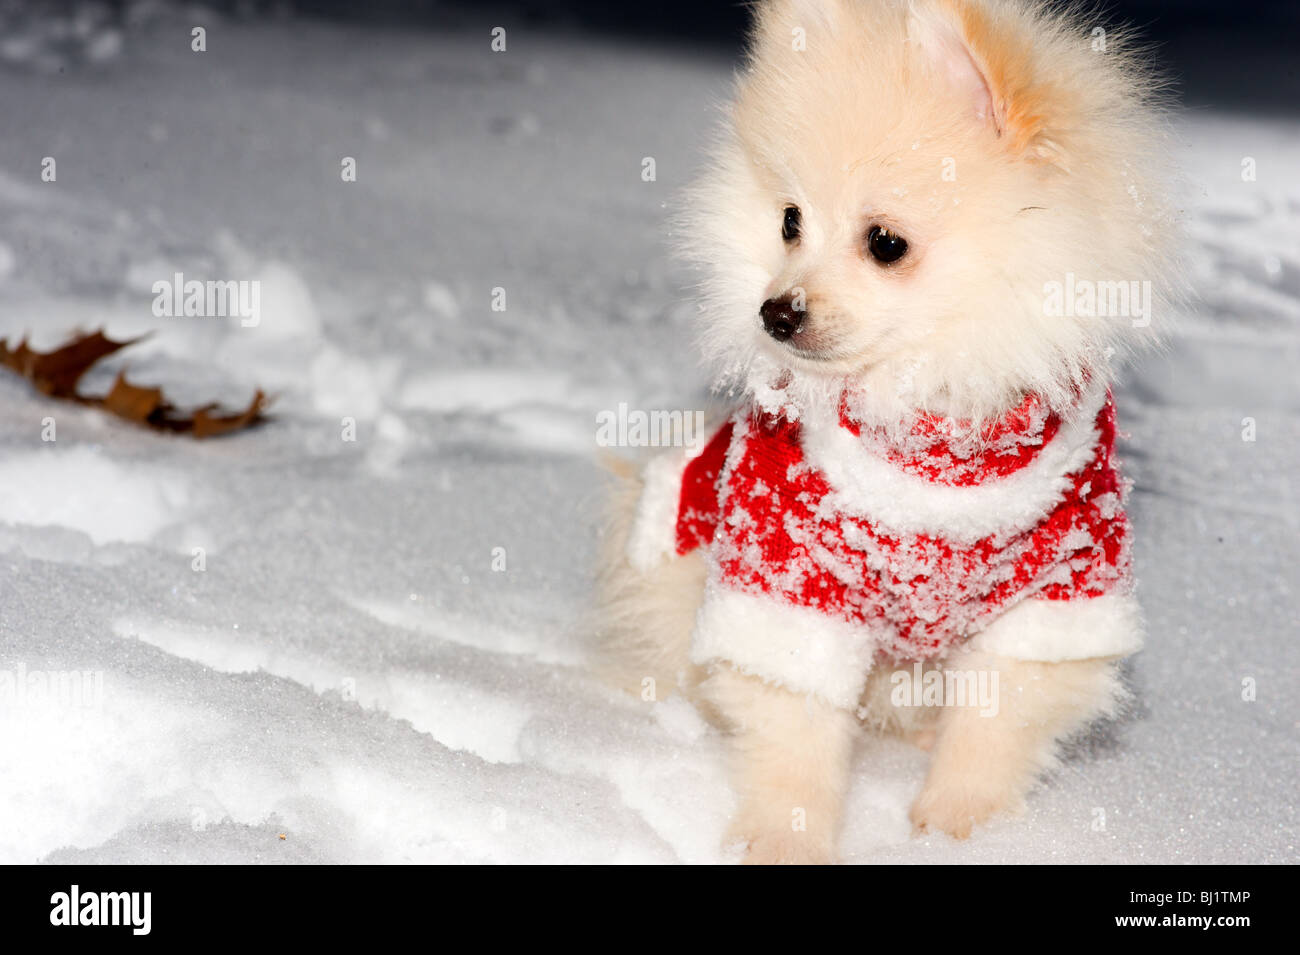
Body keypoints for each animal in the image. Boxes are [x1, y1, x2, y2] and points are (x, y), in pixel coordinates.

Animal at [595, 0, 1180, 867]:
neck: (932, 435)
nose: (775, 311)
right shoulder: (786, 569)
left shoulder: (1064, 577)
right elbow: (795, 730)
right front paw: (785, 841)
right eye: (790, 221)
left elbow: (995, 723)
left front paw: (961, 830)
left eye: (886, 242)